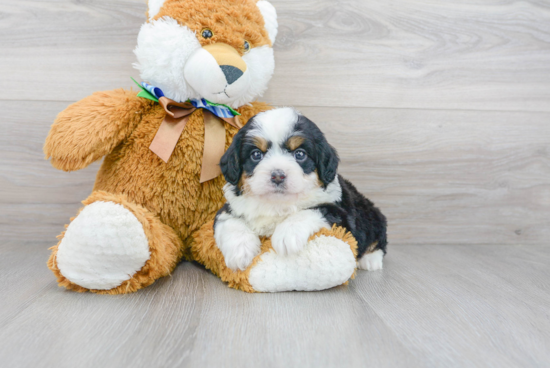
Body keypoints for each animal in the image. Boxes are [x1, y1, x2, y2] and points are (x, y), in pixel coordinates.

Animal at [215, 108, 388, 272]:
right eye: (256, 154)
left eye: (300, 154)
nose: (278, 176)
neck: (277, 204)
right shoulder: (230, 207)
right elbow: (229, 221)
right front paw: (240, 251)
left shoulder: (343, 217)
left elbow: (315, 209)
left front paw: (287, 234)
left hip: (371, 215)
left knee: (379, 237)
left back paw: (370, 260)